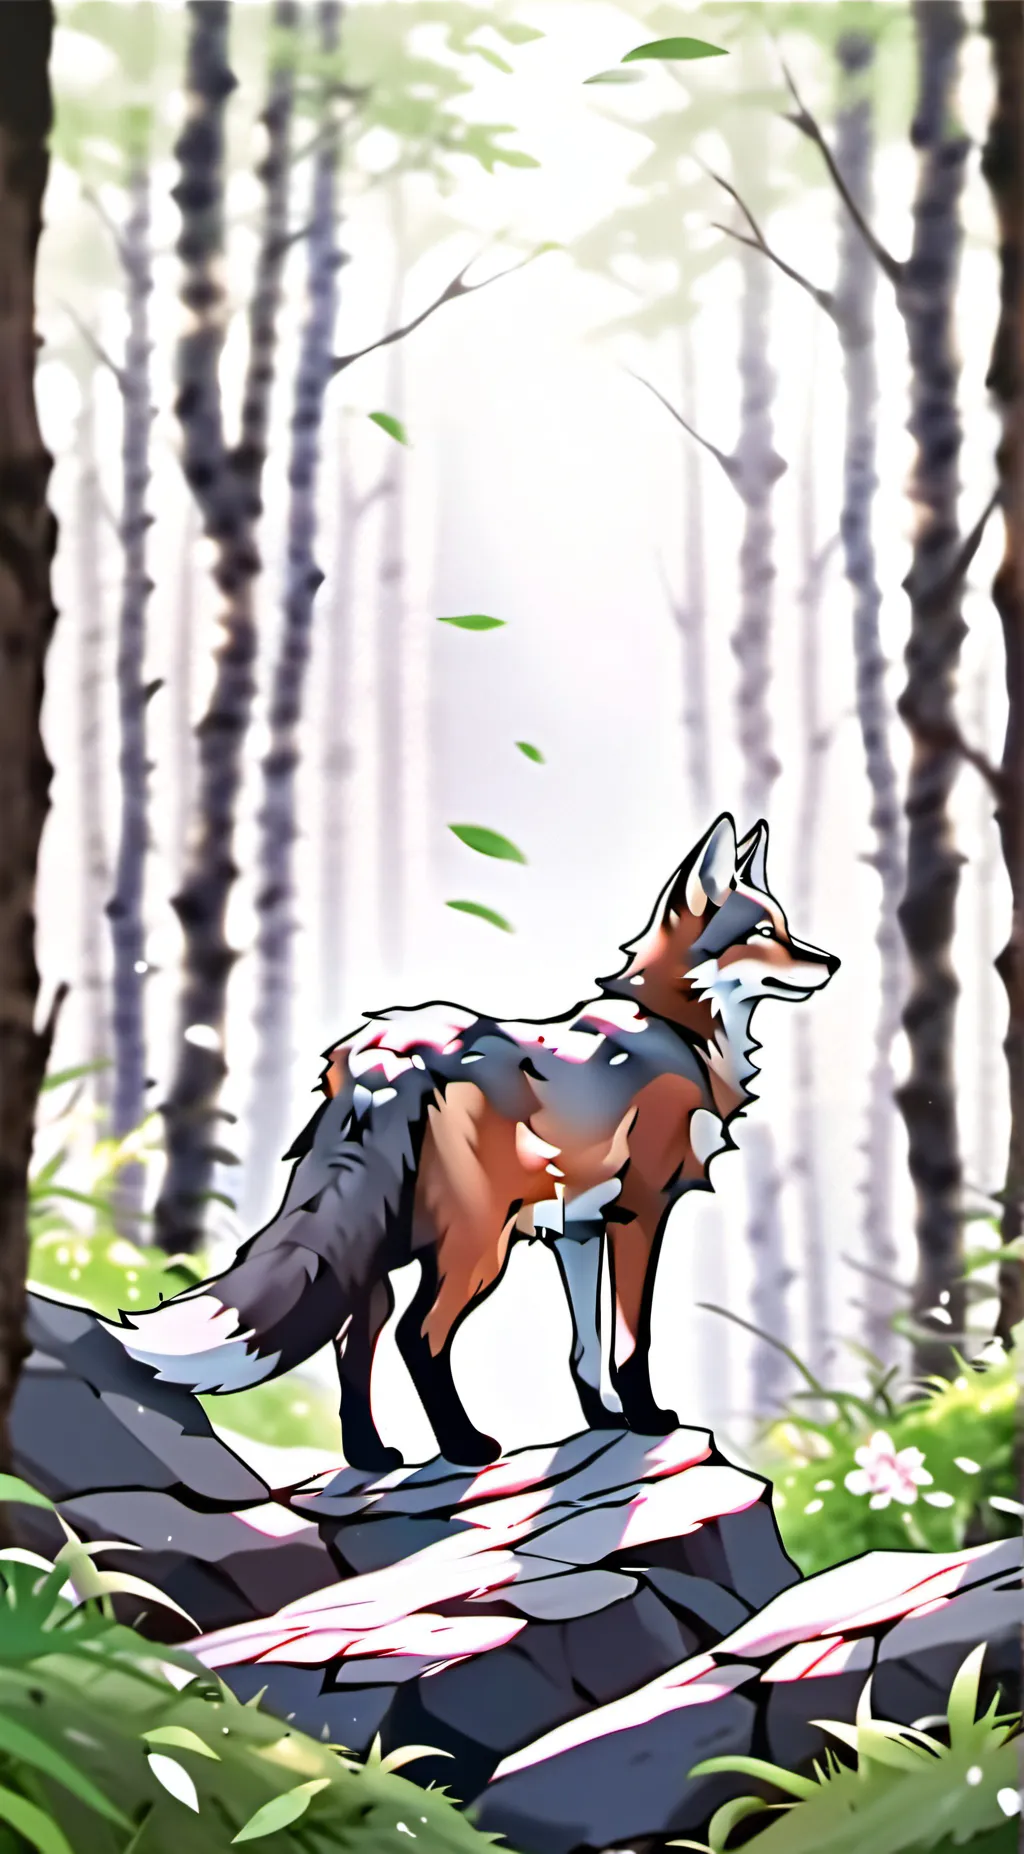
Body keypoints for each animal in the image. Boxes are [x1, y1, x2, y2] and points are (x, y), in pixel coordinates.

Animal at [103, 814, 838, 1471]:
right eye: (763, 933)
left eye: (786, 926)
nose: (831, 962)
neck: (673, 1027)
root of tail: (386, 1054)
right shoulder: (639, 1215)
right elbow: (632, 1344)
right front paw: (648, 1419)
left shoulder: (577, 1230)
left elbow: (584, 1347)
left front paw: (603, 1421)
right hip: (478, 1245)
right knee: (418, 1336)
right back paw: (464, 1448)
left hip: (378, 1251)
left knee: (356, 1339)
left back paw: (370, 1457)